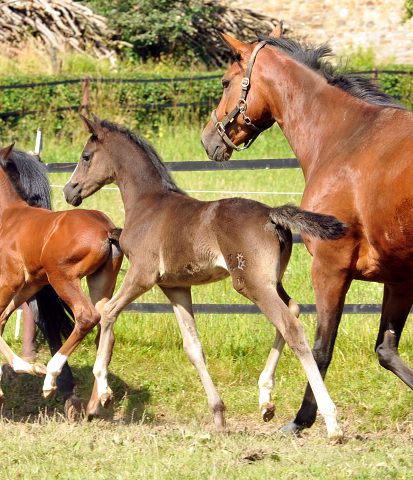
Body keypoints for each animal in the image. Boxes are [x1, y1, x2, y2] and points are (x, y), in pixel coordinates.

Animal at [0, 143, 122, 420]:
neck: (8, 215)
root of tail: (106, 229)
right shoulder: (28, 286)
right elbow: (0, 320)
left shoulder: (9, 281)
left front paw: (30, 370)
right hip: (100, 282)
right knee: (105, 329)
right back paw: (100, 398)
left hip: (62, 277)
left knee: (87, 317)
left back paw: (51, 378)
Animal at [64, 114, 348, 440]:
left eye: (86, 156)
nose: (69, 191)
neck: (146, 204)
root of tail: (272, 214)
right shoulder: (175, 286)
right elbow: (193, 347)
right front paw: (219, 414)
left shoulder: (142, 275)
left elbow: (108, 312)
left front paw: (103, 393)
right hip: (272, 282)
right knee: (293, 310)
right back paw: (266, 400)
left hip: (251, 284)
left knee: (292, 327)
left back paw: (331, 422)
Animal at [199, 27, 412, 436]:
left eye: (226, 82)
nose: (207, 140)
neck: (346, 138)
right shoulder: (398, 279)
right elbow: (387, 350)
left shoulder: (330, 267)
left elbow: (319, 348)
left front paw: (303, 419)